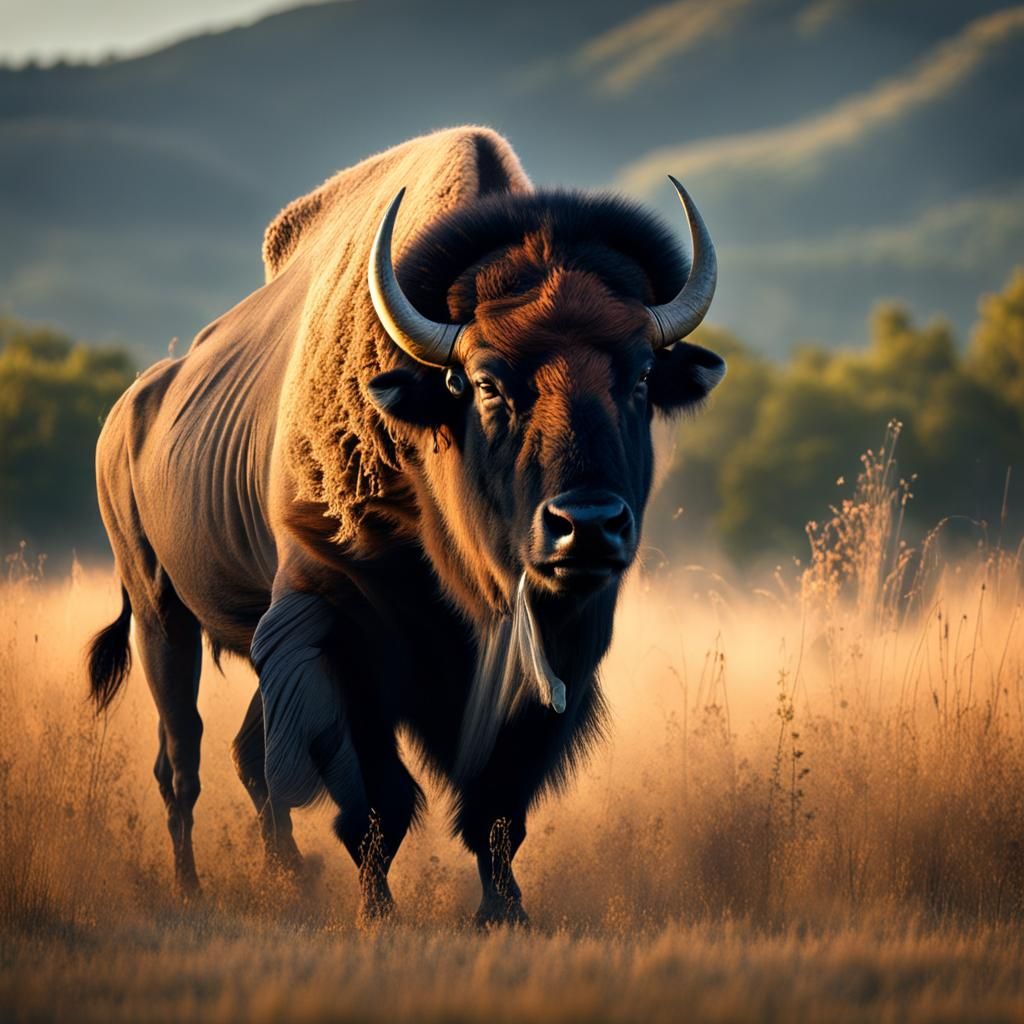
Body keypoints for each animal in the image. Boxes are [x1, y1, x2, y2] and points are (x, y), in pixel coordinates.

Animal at [87, 127, 724, 925]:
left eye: (640, 377)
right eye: (484, 382)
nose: (587, 525)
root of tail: (130, 409)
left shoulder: (557, 654)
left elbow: (498, 806)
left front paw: (504, 912)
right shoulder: (336, 627)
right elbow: (375, 799)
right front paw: (379, 912)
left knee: (247, 758)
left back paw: (287, 876)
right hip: (159, 614)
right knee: (184, 758)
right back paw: (191, 886)